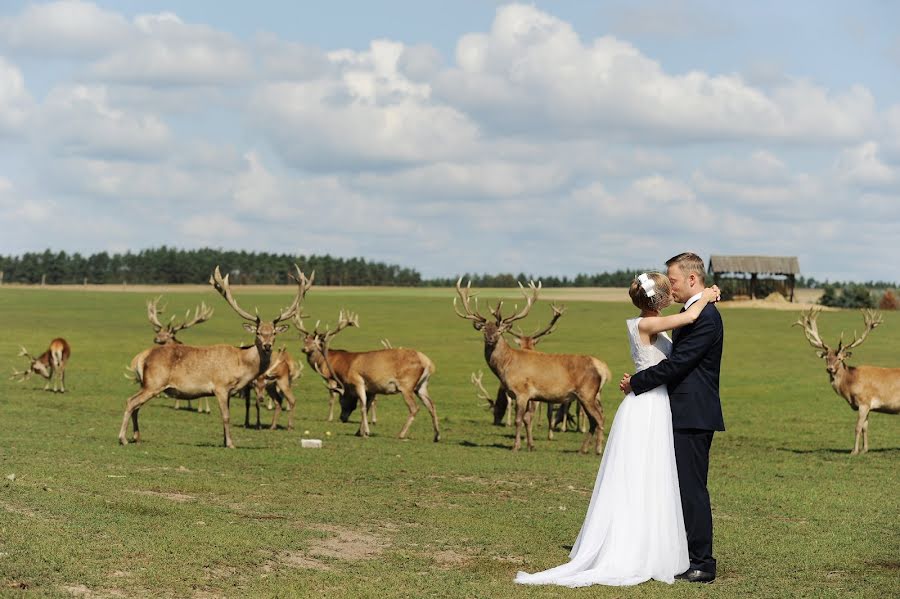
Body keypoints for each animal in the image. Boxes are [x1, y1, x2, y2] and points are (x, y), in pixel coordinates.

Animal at [118, 264, 312, 448]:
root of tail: (141, 357)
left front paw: (225, 441)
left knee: (136, 405)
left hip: (147, 384)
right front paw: (231, 444)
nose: (267, 345)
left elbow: (226, 415)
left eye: (273, 333)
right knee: (131, 402)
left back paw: (137, 437)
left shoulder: (230, 391)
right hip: (154, 383)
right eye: (258, 333)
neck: (241, 365)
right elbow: (226, 416)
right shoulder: (220, 387)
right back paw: (123, 439)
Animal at [298, 312, 442, 442]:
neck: (347, 368)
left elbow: (362, 406)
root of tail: (428, 363)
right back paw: (437, 436)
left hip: (406, 385)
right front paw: (359, 431)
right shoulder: (372, 389)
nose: (342, 418)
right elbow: (367, 406)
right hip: (422, 385)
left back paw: (400, 434)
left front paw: (365, 432)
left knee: (414, 408)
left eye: (342, 401)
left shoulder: (358, 382)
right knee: (431, 405)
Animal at [454, 280, 608, 454]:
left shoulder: (522, 392)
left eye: (499, 330)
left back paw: (598, 450)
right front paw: (530, 445)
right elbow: (527, 419)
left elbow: (519, 420)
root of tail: (603, 369)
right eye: (484, 330)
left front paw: (515, 446)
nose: (490, 338)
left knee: (600, 418)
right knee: (594, 419)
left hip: (587, 393)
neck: (506, 367)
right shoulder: (529, 396)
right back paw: (582, 449)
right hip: (587, 396)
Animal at [796, 310, 900, 454]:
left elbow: (857, 428)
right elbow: (865, 428)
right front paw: (864, 450)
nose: (829, 369)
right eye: (826, 358)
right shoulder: (867, 406)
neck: (850, 387)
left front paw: (854, 451)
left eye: (840, 358)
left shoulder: (864, 402)